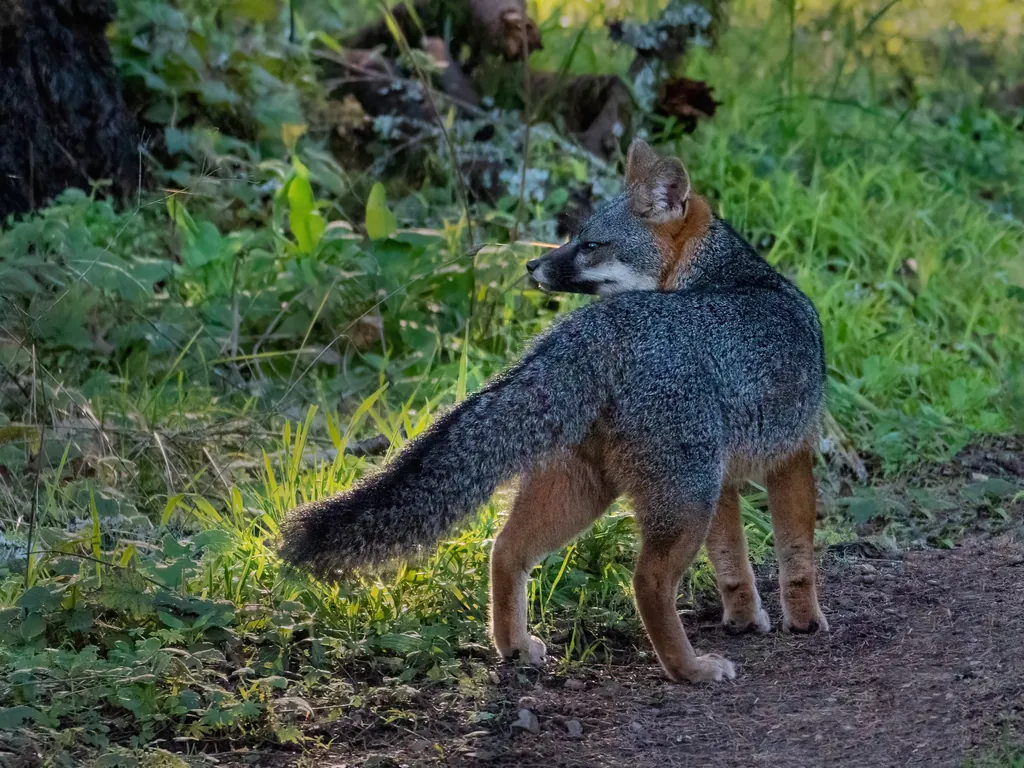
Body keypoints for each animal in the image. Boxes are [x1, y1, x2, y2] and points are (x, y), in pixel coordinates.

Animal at [279, 139, 828, 684]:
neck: (728, 274)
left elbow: (732, 565)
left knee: (506, 549)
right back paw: (688, 668)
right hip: (682, 495)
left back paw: (515, 645)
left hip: (591, 488)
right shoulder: (793, 455)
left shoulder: (729, 480)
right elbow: (797, 556)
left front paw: (745, 619)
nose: (531, 267)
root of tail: (595, 328)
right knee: (647, 582)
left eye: (590, 245)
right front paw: (805, 621)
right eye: (577, 239)